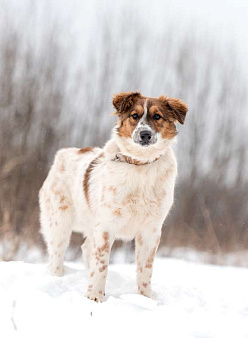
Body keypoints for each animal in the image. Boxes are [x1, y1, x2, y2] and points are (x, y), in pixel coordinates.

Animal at [38, 92, 187, 302]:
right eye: (134, 115)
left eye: (157, 116)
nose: (145, 134)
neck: (139, 165)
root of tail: (65, 152)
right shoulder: (106, 226)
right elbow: (101, 265)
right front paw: (95, 296)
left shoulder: (150, 231)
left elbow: (145, 269)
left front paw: (146, 299)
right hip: (60, 222)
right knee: (57, 255)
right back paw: (58, 277)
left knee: (86, 248)